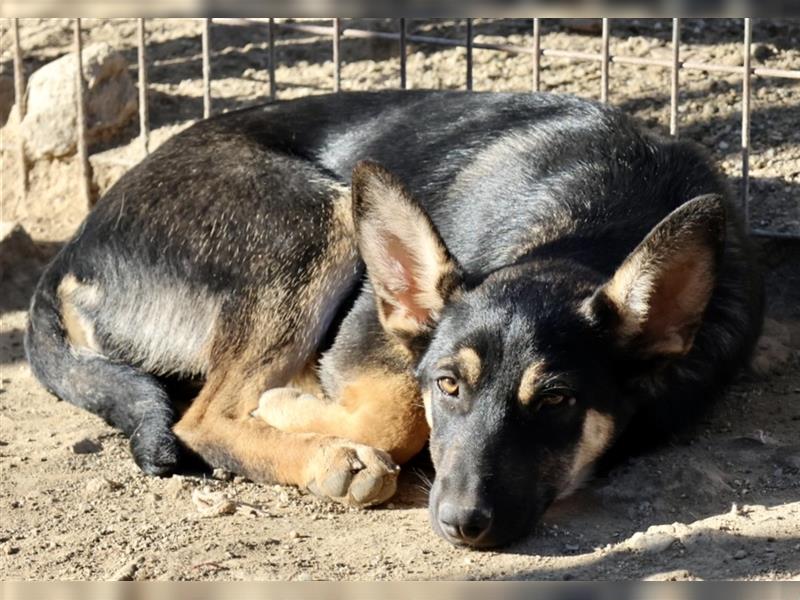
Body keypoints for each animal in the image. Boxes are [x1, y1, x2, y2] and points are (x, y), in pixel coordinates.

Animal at [25, 90, 764, 548]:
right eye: (449, 386)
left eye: (558, 401)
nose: (463, 523)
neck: (586, 228)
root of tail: (70, 252)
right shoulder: (373, 332)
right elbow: (397, 414)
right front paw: (305, 419)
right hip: (316, 219)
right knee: (202, 417)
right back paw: (315, 444)